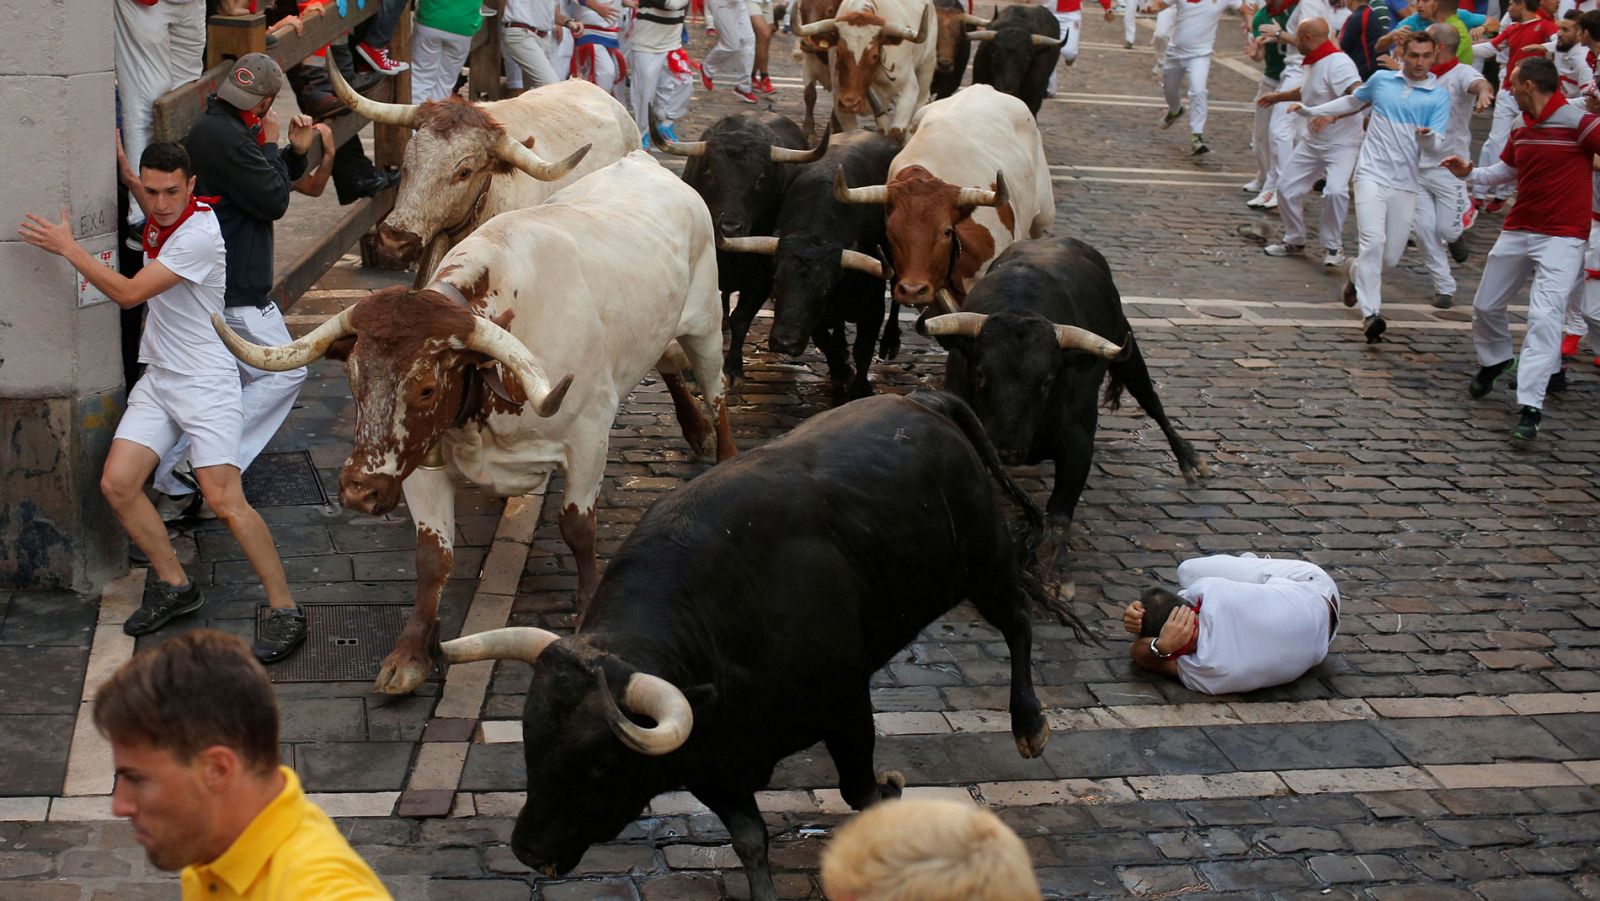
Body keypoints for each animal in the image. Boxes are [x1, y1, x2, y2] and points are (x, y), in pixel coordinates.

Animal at [454, 393, 1062, 901]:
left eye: (601, 764)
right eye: (530, 739)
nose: (529, 850)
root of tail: (921, 399)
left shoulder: (846, 706)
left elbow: (860, 791)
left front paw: (890, 794)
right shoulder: (710, 763)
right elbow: (750, 838)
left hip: (986, 561)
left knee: (1018, 624)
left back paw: (1030, 725)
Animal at [790, 0, 934, 139]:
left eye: (875, 55)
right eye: (838, 53)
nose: (850, 103)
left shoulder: (908, 89)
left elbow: (897, 132)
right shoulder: (837, 95)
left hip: (926, 69)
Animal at [934, 236, 1203, 524]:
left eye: (1047, 381)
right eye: (980, 375)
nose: (1006, 451)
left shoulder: (1079, 443)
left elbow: (1058, 516)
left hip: (1128, 350)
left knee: (1151, 401)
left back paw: (1190, 462)